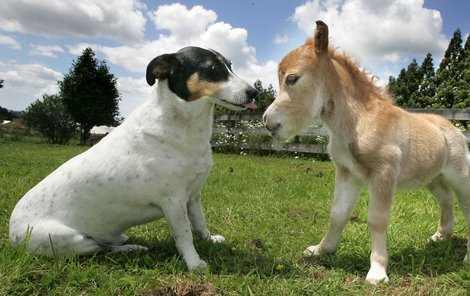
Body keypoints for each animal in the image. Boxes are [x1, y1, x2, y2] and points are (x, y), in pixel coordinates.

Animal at [9, 46, 258, 270]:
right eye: (212, 68)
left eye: (230, 65)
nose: (254, 92)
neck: (182, 125)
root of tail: (11, 234)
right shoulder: (174, 201)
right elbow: (185, 234)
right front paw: (194, 263)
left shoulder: (193, 196)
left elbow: (200, 222)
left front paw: (210, 240)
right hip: (72, 240)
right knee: (99, 247)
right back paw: (130, 249)